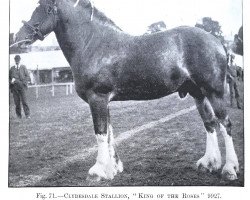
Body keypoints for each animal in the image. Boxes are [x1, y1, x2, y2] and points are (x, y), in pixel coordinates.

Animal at [14, 0, 239, 181]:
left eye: (45, 8)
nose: (18, 37)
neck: (92, 43)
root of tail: (217, 42)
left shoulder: (97, 98)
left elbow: (100, 132)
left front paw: (98, 171)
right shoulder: (104, 101)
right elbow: (109, 132)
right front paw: (113, 168)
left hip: (214, 92)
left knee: (225, 124)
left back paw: (229, 169)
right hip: (198, 94)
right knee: (209, 124)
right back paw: (208, 163)